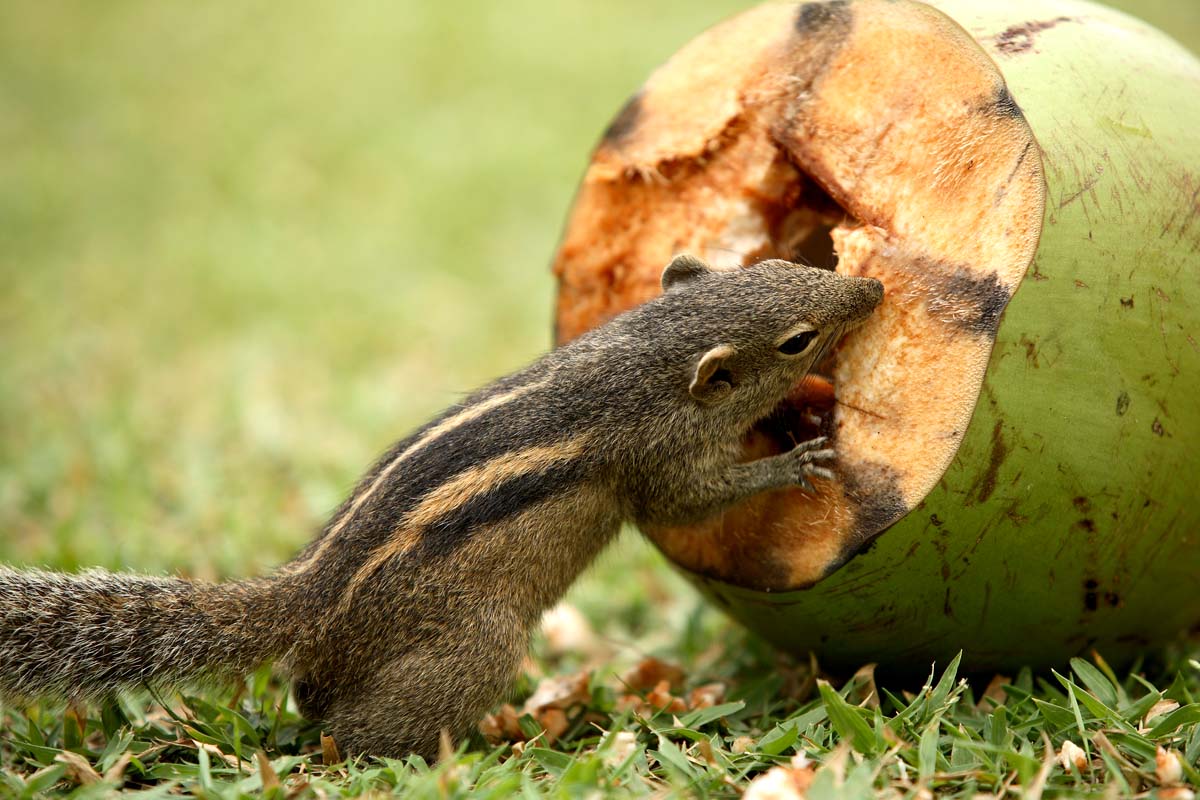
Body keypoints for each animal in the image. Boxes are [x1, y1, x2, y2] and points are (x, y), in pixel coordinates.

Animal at [0, 256, 883, 758]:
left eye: (780, 258)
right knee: (345, 735)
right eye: (799, 339)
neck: (640, 361)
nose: (873, 286)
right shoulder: (659, 464)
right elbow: (696, 502)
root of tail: (305, 597)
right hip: (479, 645)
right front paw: (793, 461)